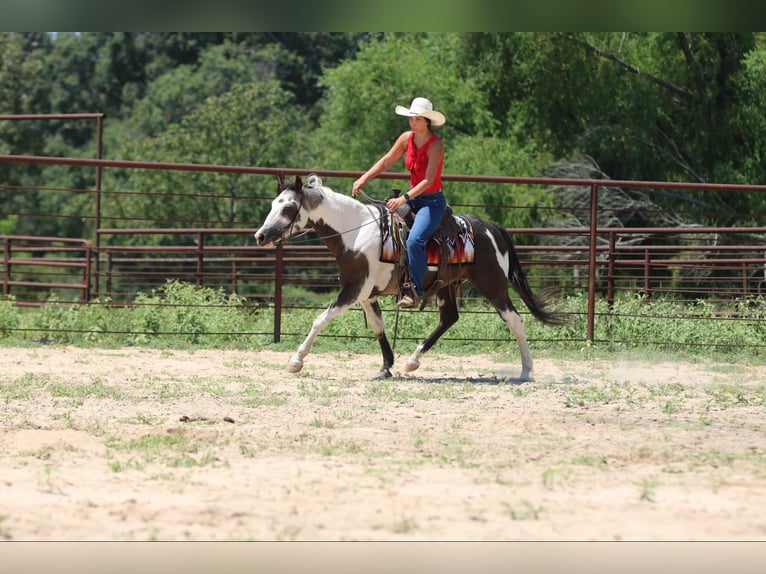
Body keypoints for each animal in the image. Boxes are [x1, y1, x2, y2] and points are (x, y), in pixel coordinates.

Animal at [255, 173, 568, 384]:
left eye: (287, 208)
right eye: (272, 204)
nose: (260, 236)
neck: (355, 232)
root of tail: (492, 228)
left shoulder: (355, 289)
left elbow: (320, 319)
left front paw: (296, 360)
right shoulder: (366, 293)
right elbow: (379, 327)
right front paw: (386, 367)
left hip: (493, 285)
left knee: (515, 320)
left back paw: (526, 370)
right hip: (447, 286)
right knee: (449, 318)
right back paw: (413, 361)